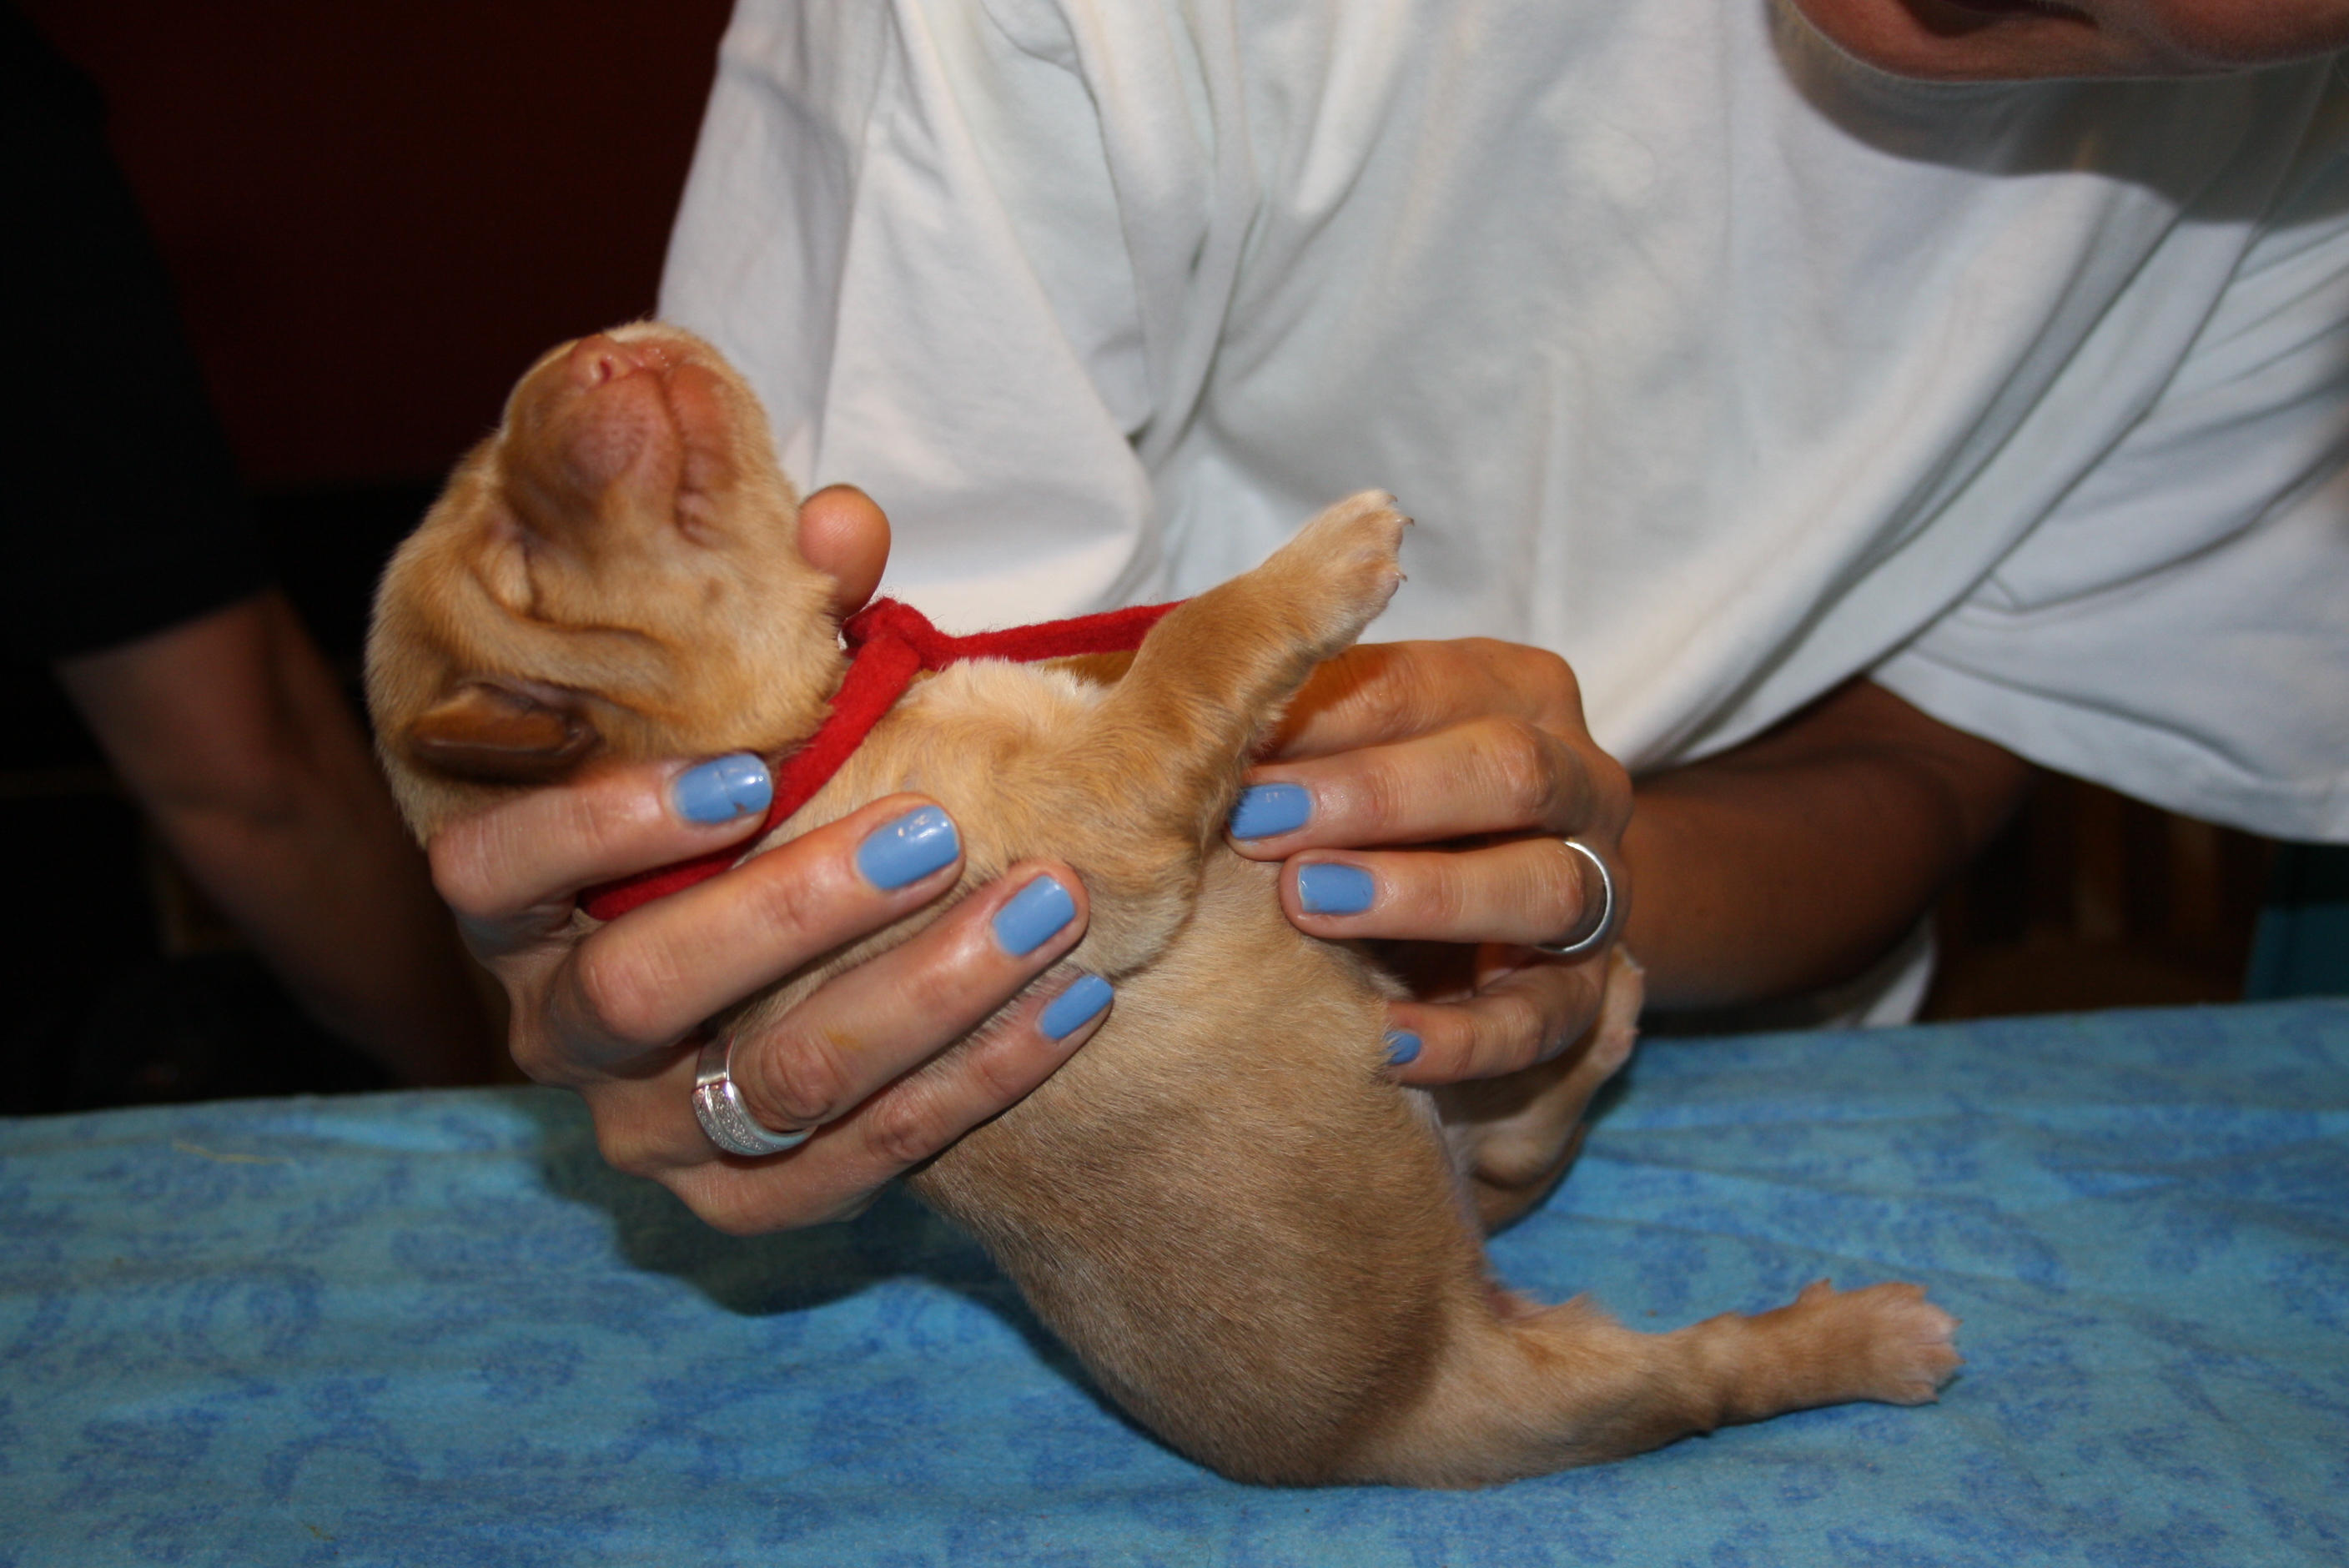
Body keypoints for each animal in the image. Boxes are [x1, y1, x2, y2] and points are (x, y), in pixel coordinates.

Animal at [366, 322, 1960, 1487]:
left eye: (495, 449)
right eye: (516, 560)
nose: (593, 352)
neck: (807, 737)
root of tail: (1452, 1348)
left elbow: (1154, 663)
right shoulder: (1086, 837)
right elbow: (1193, 649)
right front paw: (1315, 565)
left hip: (1455, 1125)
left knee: (1518, 1123)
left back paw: (1596, 1007)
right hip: (1574, 1396)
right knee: (1706, 1379)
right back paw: (1873, 1335)